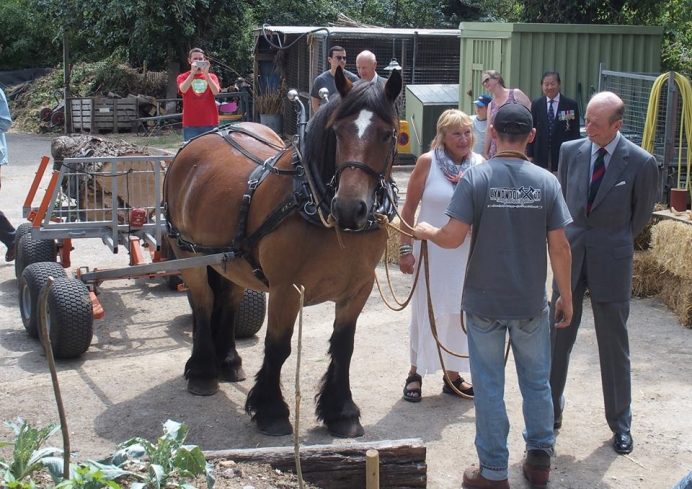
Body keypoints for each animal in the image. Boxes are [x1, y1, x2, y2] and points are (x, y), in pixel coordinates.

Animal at [163, 67, 402, 434]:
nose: (350, 208)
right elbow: (278, 346)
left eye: (388, 135)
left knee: (228, 300)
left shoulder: (358, 288)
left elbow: (344, 346)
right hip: (188, 255)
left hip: (234, 262)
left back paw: (228, 361)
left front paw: (341, 412)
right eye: (338, 131)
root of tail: (207, 135)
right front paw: (271, 410)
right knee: (202, 303)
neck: (315, 203)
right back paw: (203, 372)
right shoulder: (286, 289)